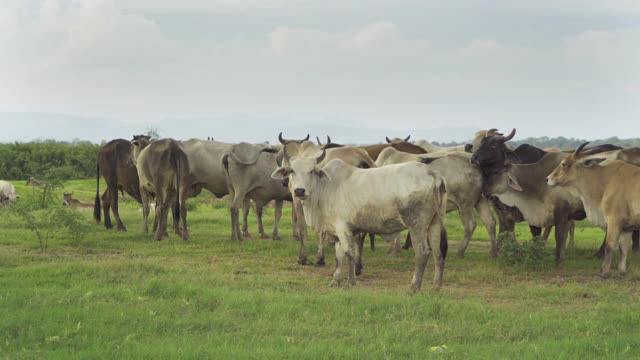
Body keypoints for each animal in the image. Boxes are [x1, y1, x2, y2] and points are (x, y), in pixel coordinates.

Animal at [278, 136, 378, 266]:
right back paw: (358, 261)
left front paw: (303, 258)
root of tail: (360, 153)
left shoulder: (298, 200)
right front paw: (320, 257)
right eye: (292, 170)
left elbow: (304, 228)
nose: (284, 182)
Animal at [544, 142, 640, 278]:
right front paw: (621, 271)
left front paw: (604, 271)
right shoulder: (627, 227)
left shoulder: (614, 221)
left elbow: (609, 245)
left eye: (564, 163)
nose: (548, 179)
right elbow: (623, 248)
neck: (607, 180)